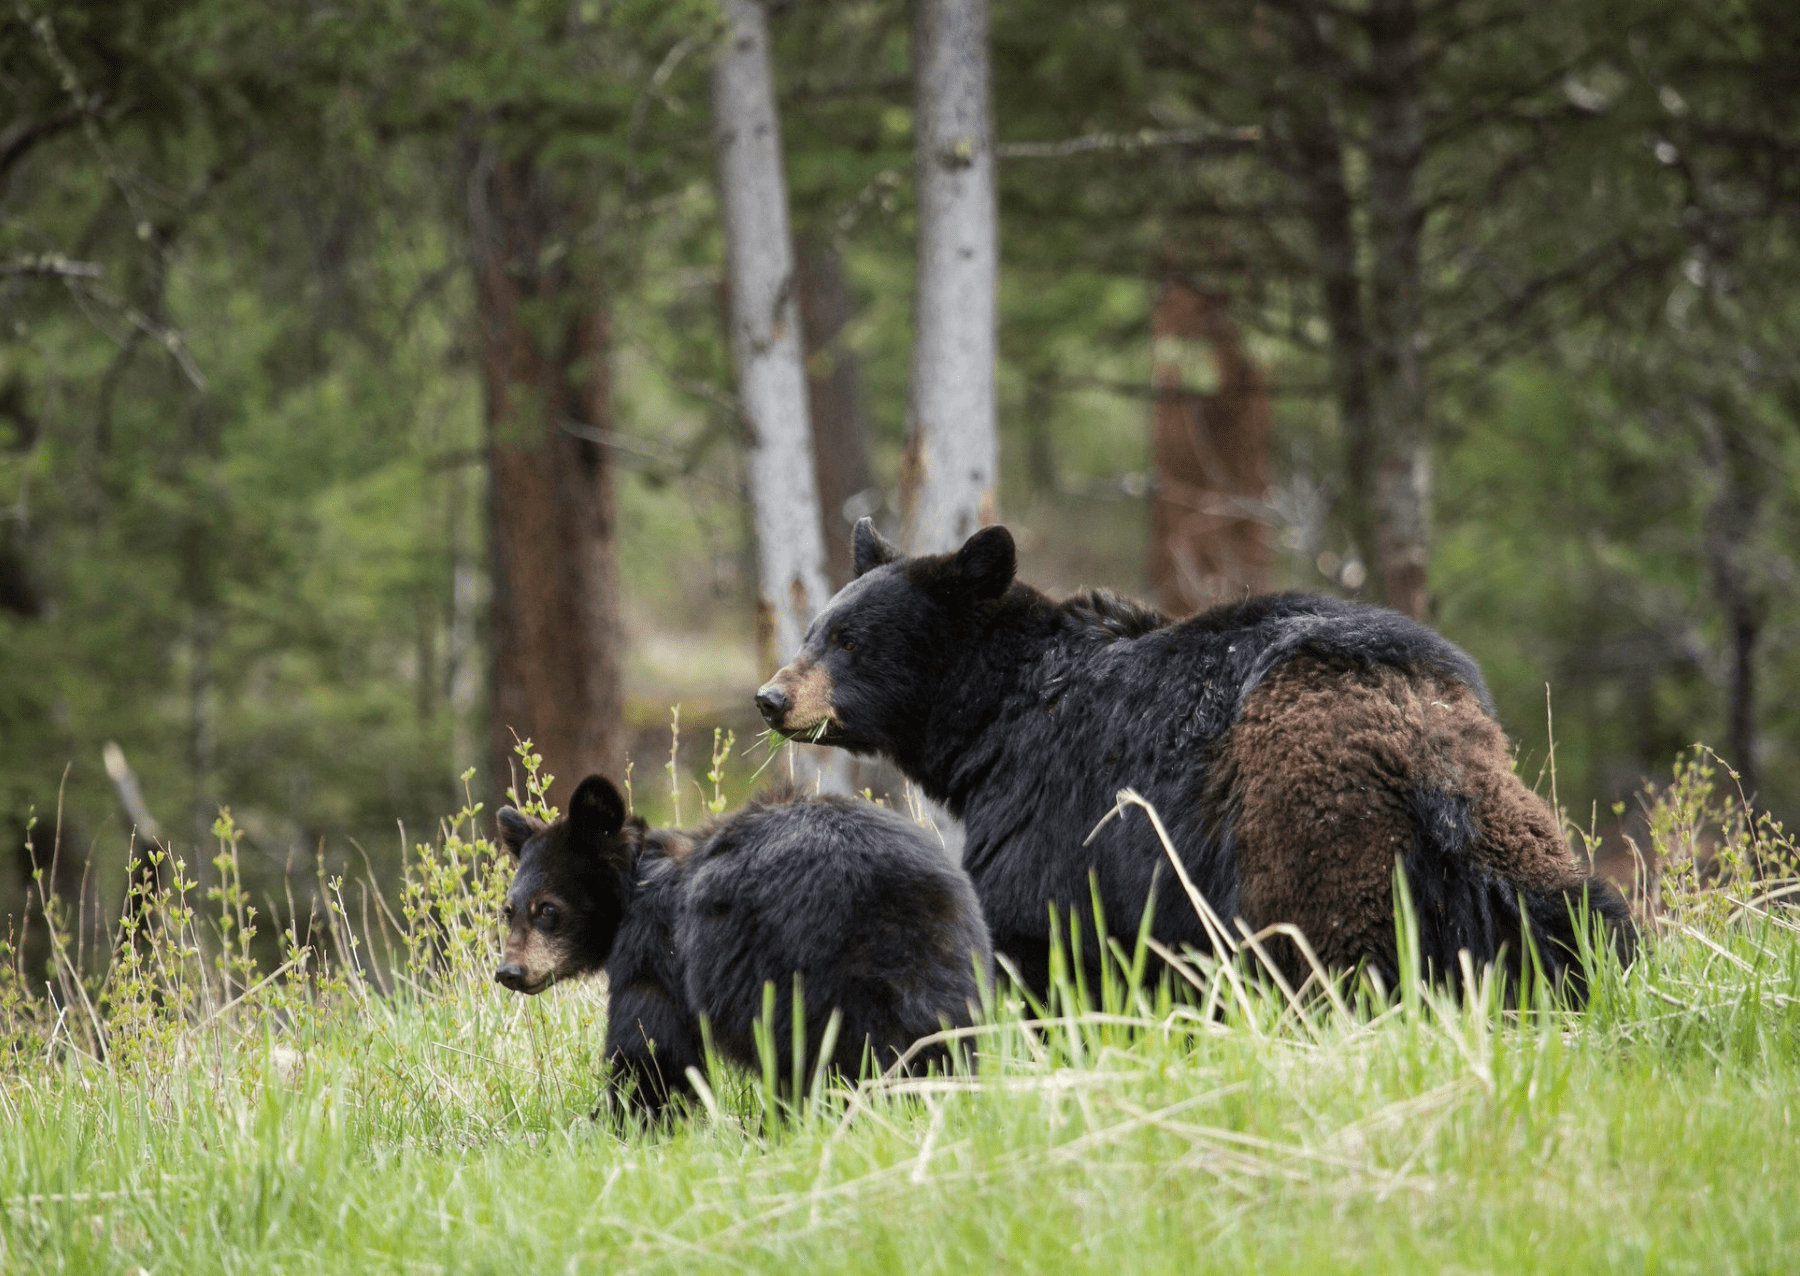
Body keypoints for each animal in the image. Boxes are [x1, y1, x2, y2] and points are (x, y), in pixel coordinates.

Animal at [496, 776, 992, 1120]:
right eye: (508, 910)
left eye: (547, 909)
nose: (509, 972)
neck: (637, 880)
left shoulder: (656, 947)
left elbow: (651, 1046)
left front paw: (623, 1122)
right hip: (951, 964)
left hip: (798, 972)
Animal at [753, 518, 1636, 1002]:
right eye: (814, 630)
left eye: (850, 641)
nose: (771, 698)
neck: (998, 716)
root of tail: (1419, 739)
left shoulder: (1054, 805)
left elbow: (1034, 929)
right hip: (1503, 827)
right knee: (1572, 913)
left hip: (1308, 830)